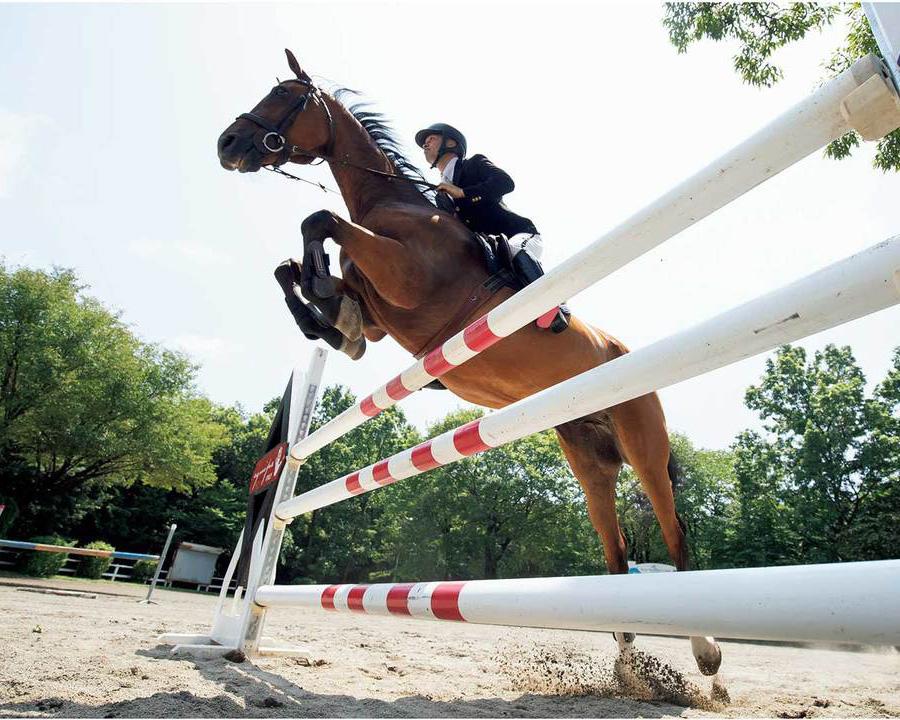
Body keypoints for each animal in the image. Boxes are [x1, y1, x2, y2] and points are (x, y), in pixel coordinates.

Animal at [216, 49, 722, 677]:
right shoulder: (382, 313)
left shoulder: (405, 278)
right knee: (615, 547)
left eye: (285, 96)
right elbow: (298, 273)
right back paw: (629, 669)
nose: (227, 143)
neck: (389, 204)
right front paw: (328, 316)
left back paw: (705, 652)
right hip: (588, 459)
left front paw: (325, 296)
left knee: (673, 528)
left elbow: (320, 220)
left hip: (642, 442)